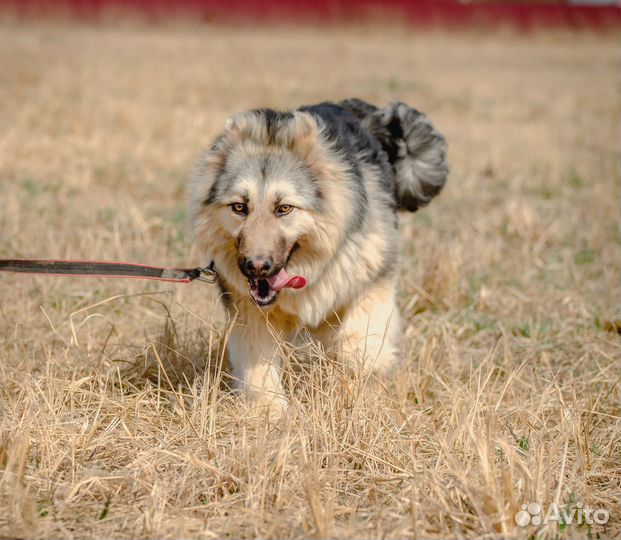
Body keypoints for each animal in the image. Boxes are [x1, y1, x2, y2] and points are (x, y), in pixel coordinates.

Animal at [188, 99, 446, 408]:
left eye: (284, 208)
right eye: (239, 207)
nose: (256, 267)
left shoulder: (371, 284)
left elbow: (358, 346)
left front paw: (355, 395)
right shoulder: (250, 314)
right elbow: (258, 367)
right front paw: (269, 412)